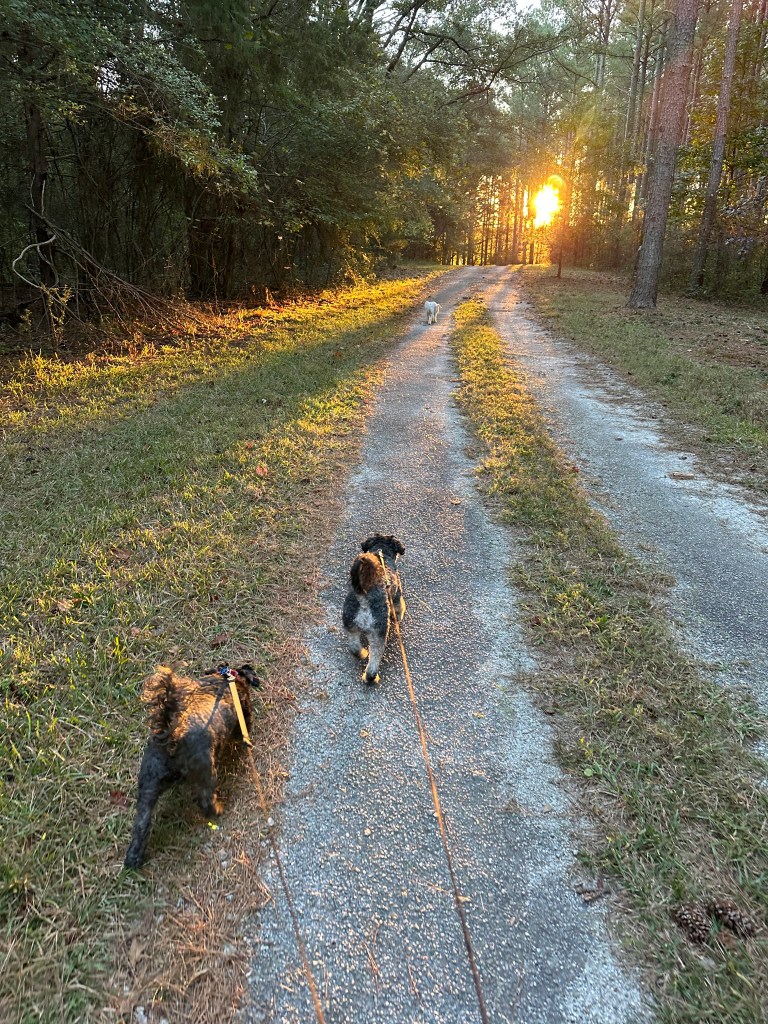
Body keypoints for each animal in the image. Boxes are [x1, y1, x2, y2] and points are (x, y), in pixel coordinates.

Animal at [124, 662, 262, 868]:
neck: (226, 679)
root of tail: (171, 739)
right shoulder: (243, 712)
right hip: (206, 771)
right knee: (205, 800)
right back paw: (217, 810)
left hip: (148, 782)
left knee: (141, 823)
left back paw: (133, 858)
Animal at [342, 534, 406, 684]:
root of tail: (363, 598)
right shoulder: (397, 596)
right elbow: (399, 608)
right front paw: (397, 617)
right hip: (379, 634)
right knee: (374, 660)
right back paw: (371, 677)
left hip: (350, 625)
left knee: (354, 647)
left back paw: (361, 653)